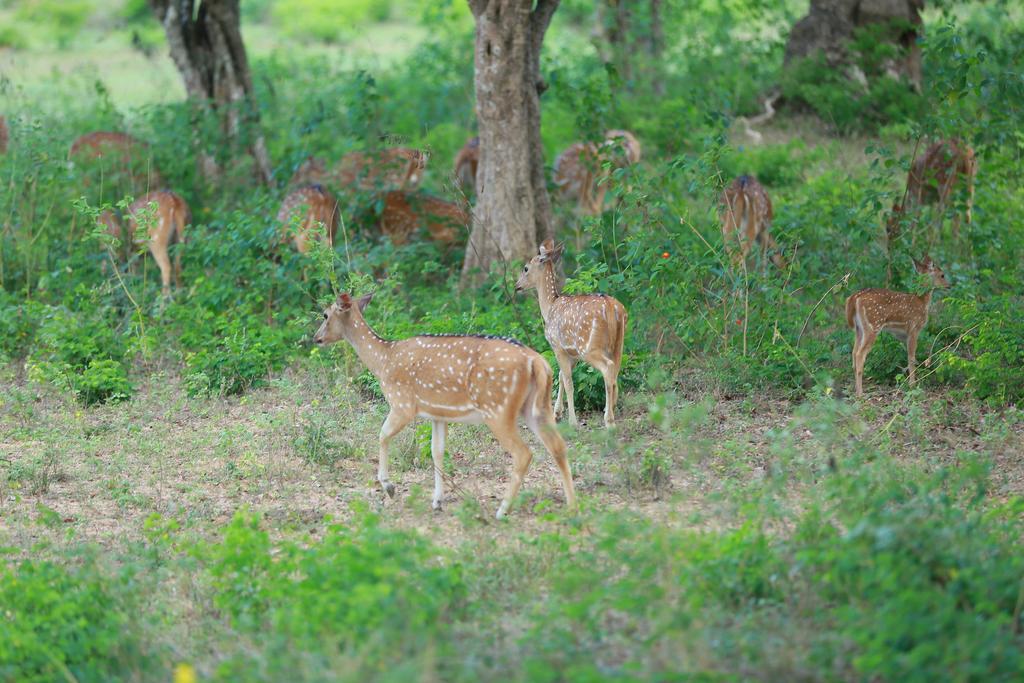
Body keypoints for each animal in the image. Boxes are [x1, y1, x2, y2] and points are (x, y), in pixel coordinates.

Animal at [311, 290, 577, 520]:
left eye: (325, 315)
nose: (316, 338)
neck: (383, 361)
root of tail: (537, 362)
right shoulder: (438, 414)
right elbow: (437, 451)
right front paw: (437, 501)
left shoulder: (402, 403)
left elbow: (383, 435)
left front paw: (389, 487)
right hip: (537, 407)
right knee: (558, 446)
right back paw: (572, 504)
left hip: (498, 408)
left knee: (524, 453)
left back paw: (502, 510)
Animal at [516, 240, 626, 428]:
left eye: (525, 268)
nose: (517, 286)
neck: (549, 308)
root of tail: (613, 309)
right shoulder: (572, 353)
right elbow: (561, 376)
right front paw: (557, 414)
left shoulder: (557, 346)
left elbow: (568, 381)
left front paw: (572, 421)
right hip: (618, 344)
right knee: (615, 371)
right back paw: (611, 409)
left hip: (589, 347)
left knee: (608, 369)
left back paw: (609, 420)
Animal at [847, 254, 950, 395]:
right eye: (942, 275)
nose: (949, 286)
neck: (922, 301)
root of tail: (854, 297)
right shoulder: (913, 328)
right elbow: (911, 358)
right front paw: (913, 385)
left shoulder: (903, 335)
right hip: (873, 326)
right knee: (859, 354)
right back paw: (860, 394)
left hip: (859, 329)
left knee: (853, 352)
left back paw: (856, 391)